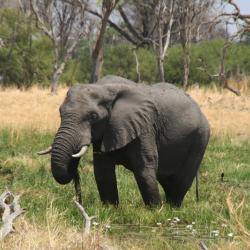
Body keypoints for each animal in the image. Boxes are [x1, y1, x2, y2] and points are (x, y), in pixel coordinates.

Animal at [39, 75, 210, 207]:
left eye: (93, 116)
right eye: (60, 112)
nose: (78, 200)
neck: (103, 88)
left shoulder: (144, 126)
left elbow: (144, 166)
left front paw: (155, 210)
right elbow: (103, 170)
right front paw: (111, 208)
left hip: (200, 138)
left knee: (182, 180)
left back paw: (172, 208)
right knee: (166, 178)